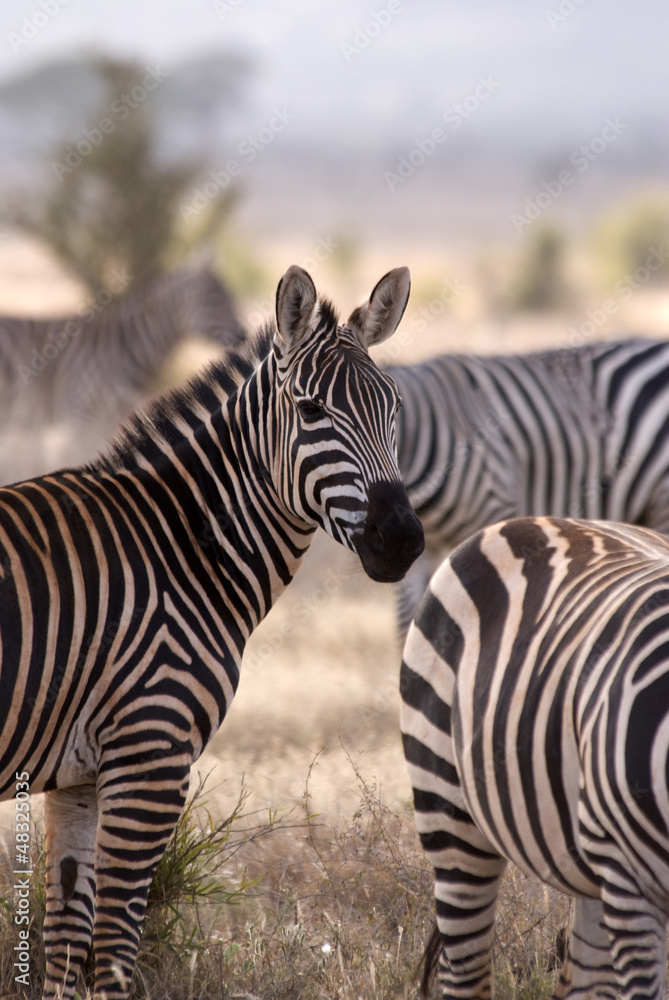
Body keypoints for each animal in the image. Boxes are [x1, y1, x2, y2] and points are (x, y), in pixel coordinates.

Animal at [0, 264, 424, 1000]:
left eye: (394, 410)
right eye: (310, 411)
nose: (400, 539)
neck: (181, 547)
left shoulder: (76, 777)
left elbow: (64, 944)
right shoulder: (150, 757)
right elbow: (114, 948)